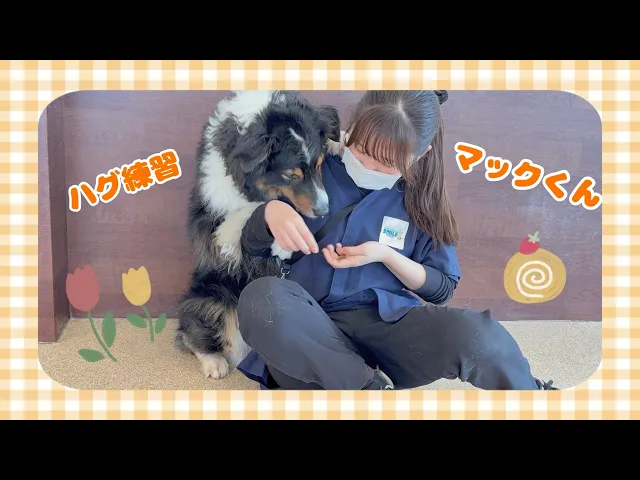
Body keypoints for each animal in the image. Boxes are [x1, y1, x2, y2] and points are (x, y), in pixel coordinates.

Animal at [174, 90, 342, 379]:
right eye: (290, 175)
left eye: (320, 166)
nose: (324, 210)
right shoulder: (213, 204)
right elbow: (252, 209)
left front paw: (340, 143)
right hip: (208, 295)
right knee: (190, 331)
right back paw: (214, 362)